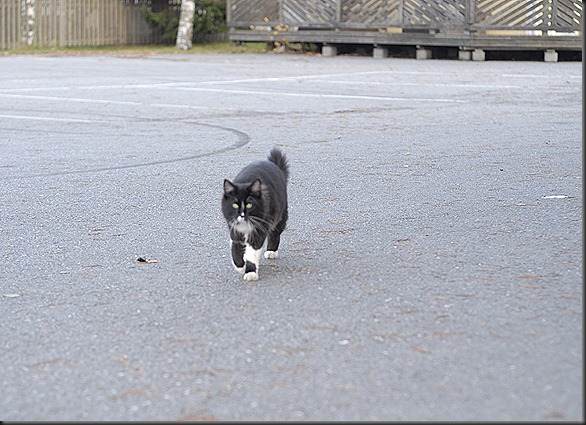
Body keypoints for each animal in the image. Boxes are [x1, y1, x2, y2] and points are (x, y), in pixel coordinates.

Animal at [220, 147, 288, 280]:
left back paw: (271, 251)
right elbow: (235, 250)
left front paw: (250, 272)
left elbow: (252, 253)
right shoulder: (235, 230)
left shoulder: (258, 230)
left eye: (249, 205)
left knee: (275, 232)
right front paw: (240, 267)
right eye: (235, 204)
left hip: (281, 215)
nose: (242, 214)